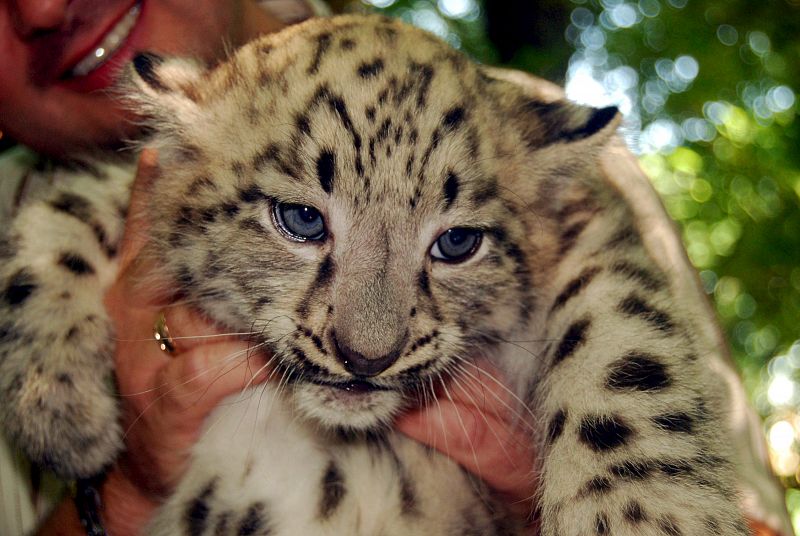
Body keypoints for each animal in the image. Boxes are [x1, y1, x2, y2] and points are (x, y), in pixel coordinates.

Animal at [0, 14, 750, 535]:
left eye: (457, 242)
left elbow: (624, 349)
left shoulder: (591, 239)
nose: (366, 356)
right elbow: (58, 220)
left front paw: (645, 517)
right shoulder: (122, 182)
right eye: (301, 219)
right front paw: (59, 409)